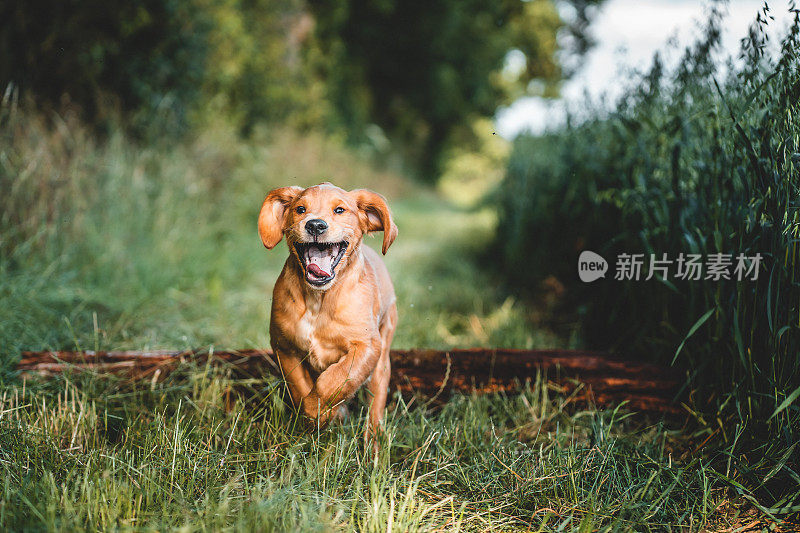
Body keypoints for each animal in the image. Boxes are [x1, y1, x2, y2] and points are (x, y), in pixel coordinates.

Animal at [258, 181, 398, 438]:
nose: (315, 224)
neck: (319, 300)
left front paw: (320, 412)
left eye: (339, 210)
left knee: (375, 407)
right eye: (300, 209)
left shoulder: (367, 346)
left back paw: (373, 443)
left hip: (382, 360)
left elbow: (334, 379)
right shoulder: (284, 346)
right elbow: (300, 386)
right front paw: (315, 417)